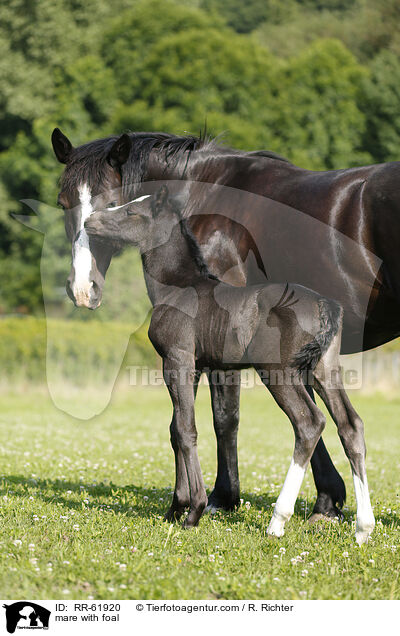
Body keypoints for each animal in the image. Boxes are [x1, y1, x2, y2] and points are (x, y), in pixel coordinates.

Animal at [85, 186, 376, 544]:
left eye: (130, 212)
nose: (90, 221)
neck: (178, 287)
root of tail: (326, 306)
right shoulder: (195, 366)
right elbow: (174, 428)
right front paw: (175, 508)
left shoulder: (177, 360)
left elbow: (185, 430)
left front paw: (193, 511)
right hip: (323, 369)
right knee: (351, 426)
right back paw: (363, 528)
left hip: (278, 372)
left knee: (309, 423)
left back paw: (278, 521)